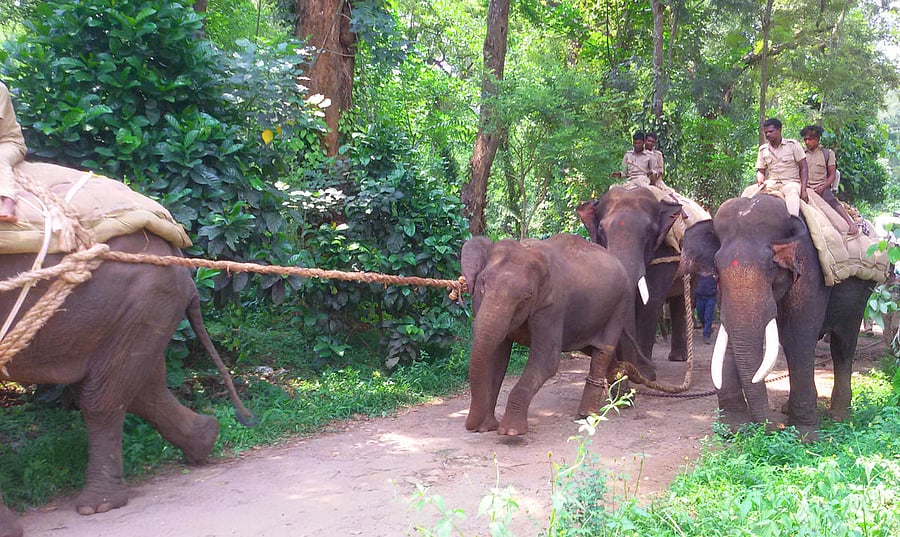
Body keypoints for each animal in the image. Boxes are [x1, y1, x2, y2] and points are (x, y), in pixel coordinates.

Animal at [0, 232, 255, 537]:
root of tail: (180, 259)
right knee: (142, 387)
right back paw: (205, 439)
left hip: (142, 304)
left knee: (102, 397)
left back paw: (98, 506)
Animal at [461, 234, 630, 436]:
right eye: (483, 283)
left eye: (526, 297)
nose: (470, 426)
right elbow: (495, 357)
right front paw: (485, 427)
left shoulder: (552, 307)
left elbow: (546, 360)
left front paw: (510, 431)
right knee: (594, 350)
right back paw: (622, 395)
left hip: (619, 307)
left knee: (603, 351)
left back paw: (587, 415)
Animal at [577, 186, 691, 380]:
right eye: (601, 231)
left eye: (649, 231)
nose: (627, 371)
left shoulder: (665, 252)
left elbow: (651, 301)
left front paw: (644, 374)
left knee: (681, 301)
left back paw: (678, 358)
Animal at [680, 194, 873, 437]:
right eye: (716, 266)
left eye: (772, 266)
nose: (773, 428)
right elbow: (733, 336)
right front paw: (734, 429)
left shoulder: (811, 269)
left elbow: (797, 338)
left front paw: (805, 436)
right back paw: (788, 410)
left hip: (861, 293)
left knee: (842, 345)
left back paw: (839, 417)